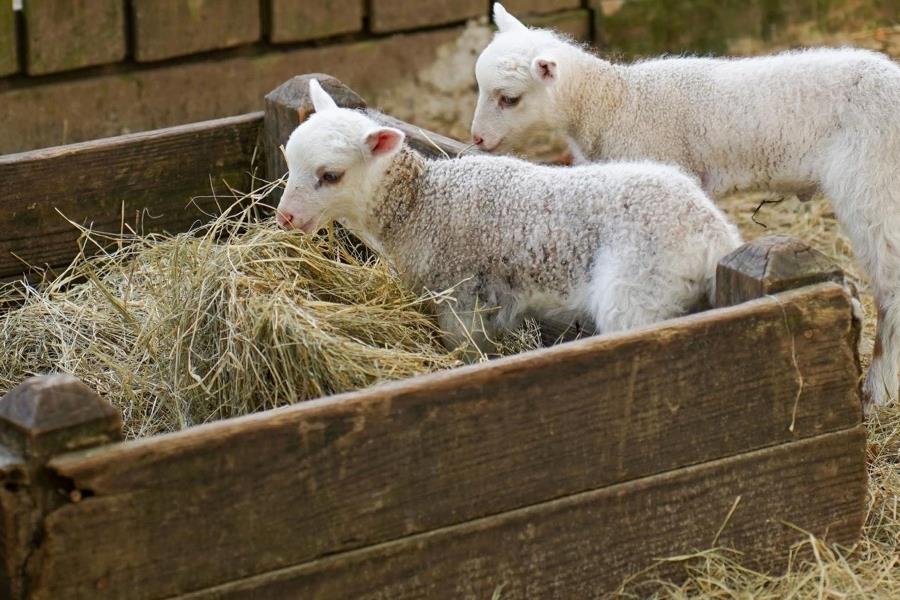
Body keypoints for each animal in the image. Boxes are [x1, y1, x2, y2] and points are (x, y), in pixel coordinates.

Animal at [276, 79, 742, 353]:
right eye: (289, 161)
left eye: (330, 176)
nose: (285, 218)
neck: (421, 203)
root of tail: (714, 234)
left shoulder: (461, 295)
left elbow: (465, 349)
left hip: (639, 291)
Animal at [471, 3, 900, 408]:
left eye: (509, 99)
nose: (476, 139)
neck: (615, 103)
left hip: (872, 183)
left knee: (890, 284)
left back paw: (878, 391)